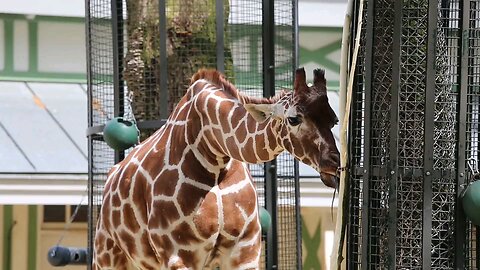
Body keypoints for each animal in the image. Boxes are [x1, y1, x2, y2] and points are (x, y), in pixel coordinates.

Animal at [94, 67, 340, 270]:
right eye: (293, 119)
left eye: (334, 120)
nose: (334, 164)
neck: (214, 155)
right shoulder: (178, 254)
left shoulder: (245, 250)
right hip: (107, 256)